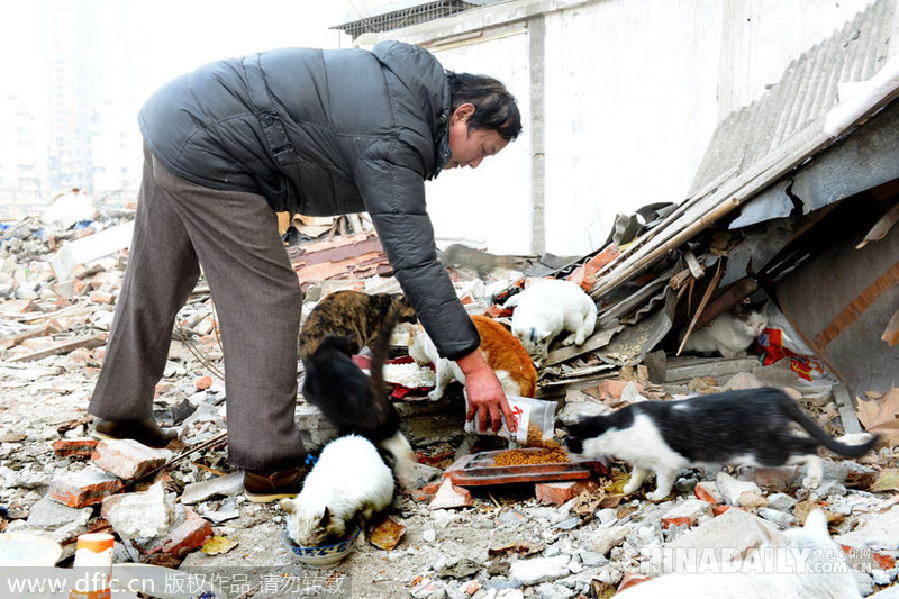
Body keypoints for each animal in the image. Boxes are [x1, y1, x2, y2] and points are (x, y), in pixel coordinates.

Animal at [568, 386, 884, 500]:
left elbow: (663, 480)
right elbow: (637, 473)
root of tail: (774, 392)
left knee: (809, 446)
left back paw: (814, 479)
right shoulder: (643, 461)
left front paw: (657, 495)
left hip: (763, 450)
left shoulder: (666, 463)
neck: (618, 428)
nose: (566, 449)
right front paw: (631, 487)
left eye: (569, 440)